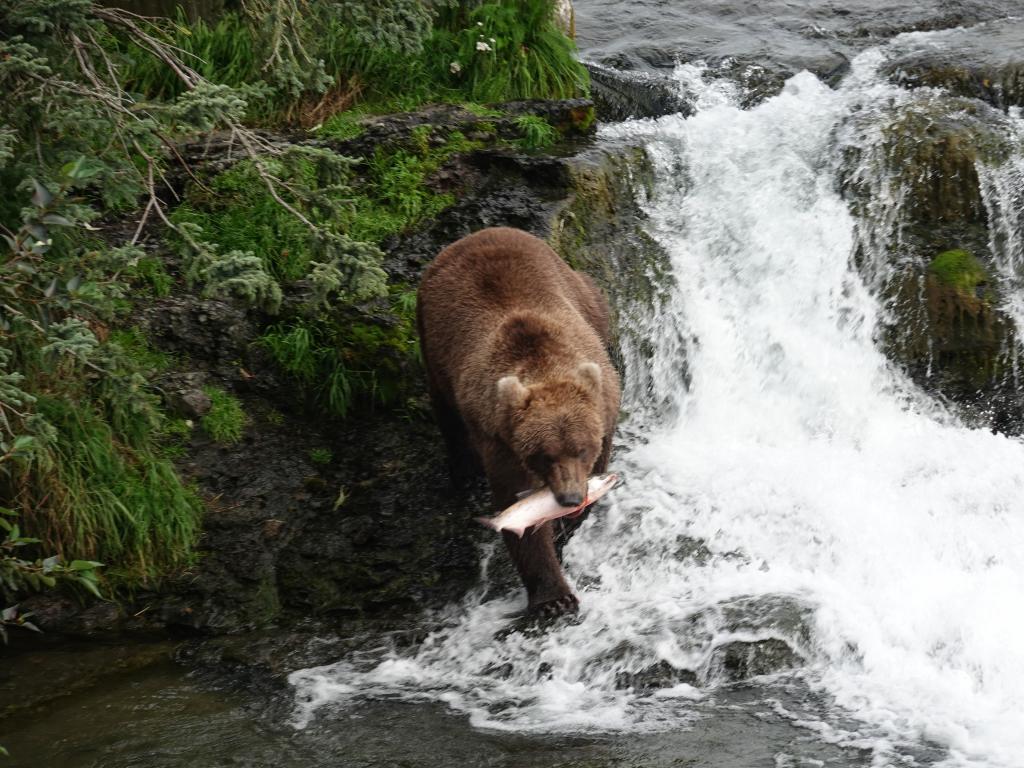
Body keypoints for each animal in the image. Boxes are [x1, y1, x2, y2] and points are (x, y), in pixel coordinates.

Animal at [413, 225, 618, 618]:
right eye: (545, 455)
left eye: (581, 450)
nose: (569, 498)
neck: (544, 367)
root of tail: (478, 233)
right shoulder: (501, 440)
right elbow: (517, 511)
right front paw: (554, 598)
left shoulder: (606, 409)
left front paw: (575, 518)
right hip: (430, 337)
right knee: (446, 412)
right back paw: (462, 471)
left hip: (577, 289)